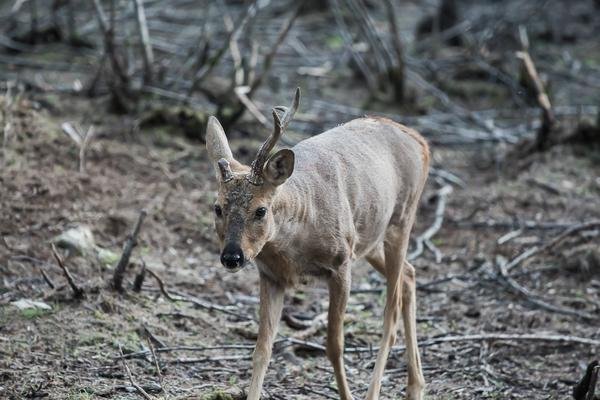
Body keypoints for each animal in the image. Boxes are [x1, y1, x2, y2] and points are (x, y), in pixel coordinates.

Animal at [207, 88, 432, 400]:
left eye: (261, 210)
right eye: (217, 207)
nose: (232, 257)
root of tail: (421, 141)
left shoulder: (340, 264)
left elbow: (334, 346)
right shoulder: (271, 275)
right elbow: (262, 350)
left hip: (401, 220)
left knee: (391, 314)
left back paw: (376, 391)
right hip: (370, 238)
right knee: (410, 275)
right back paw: (416, 387)